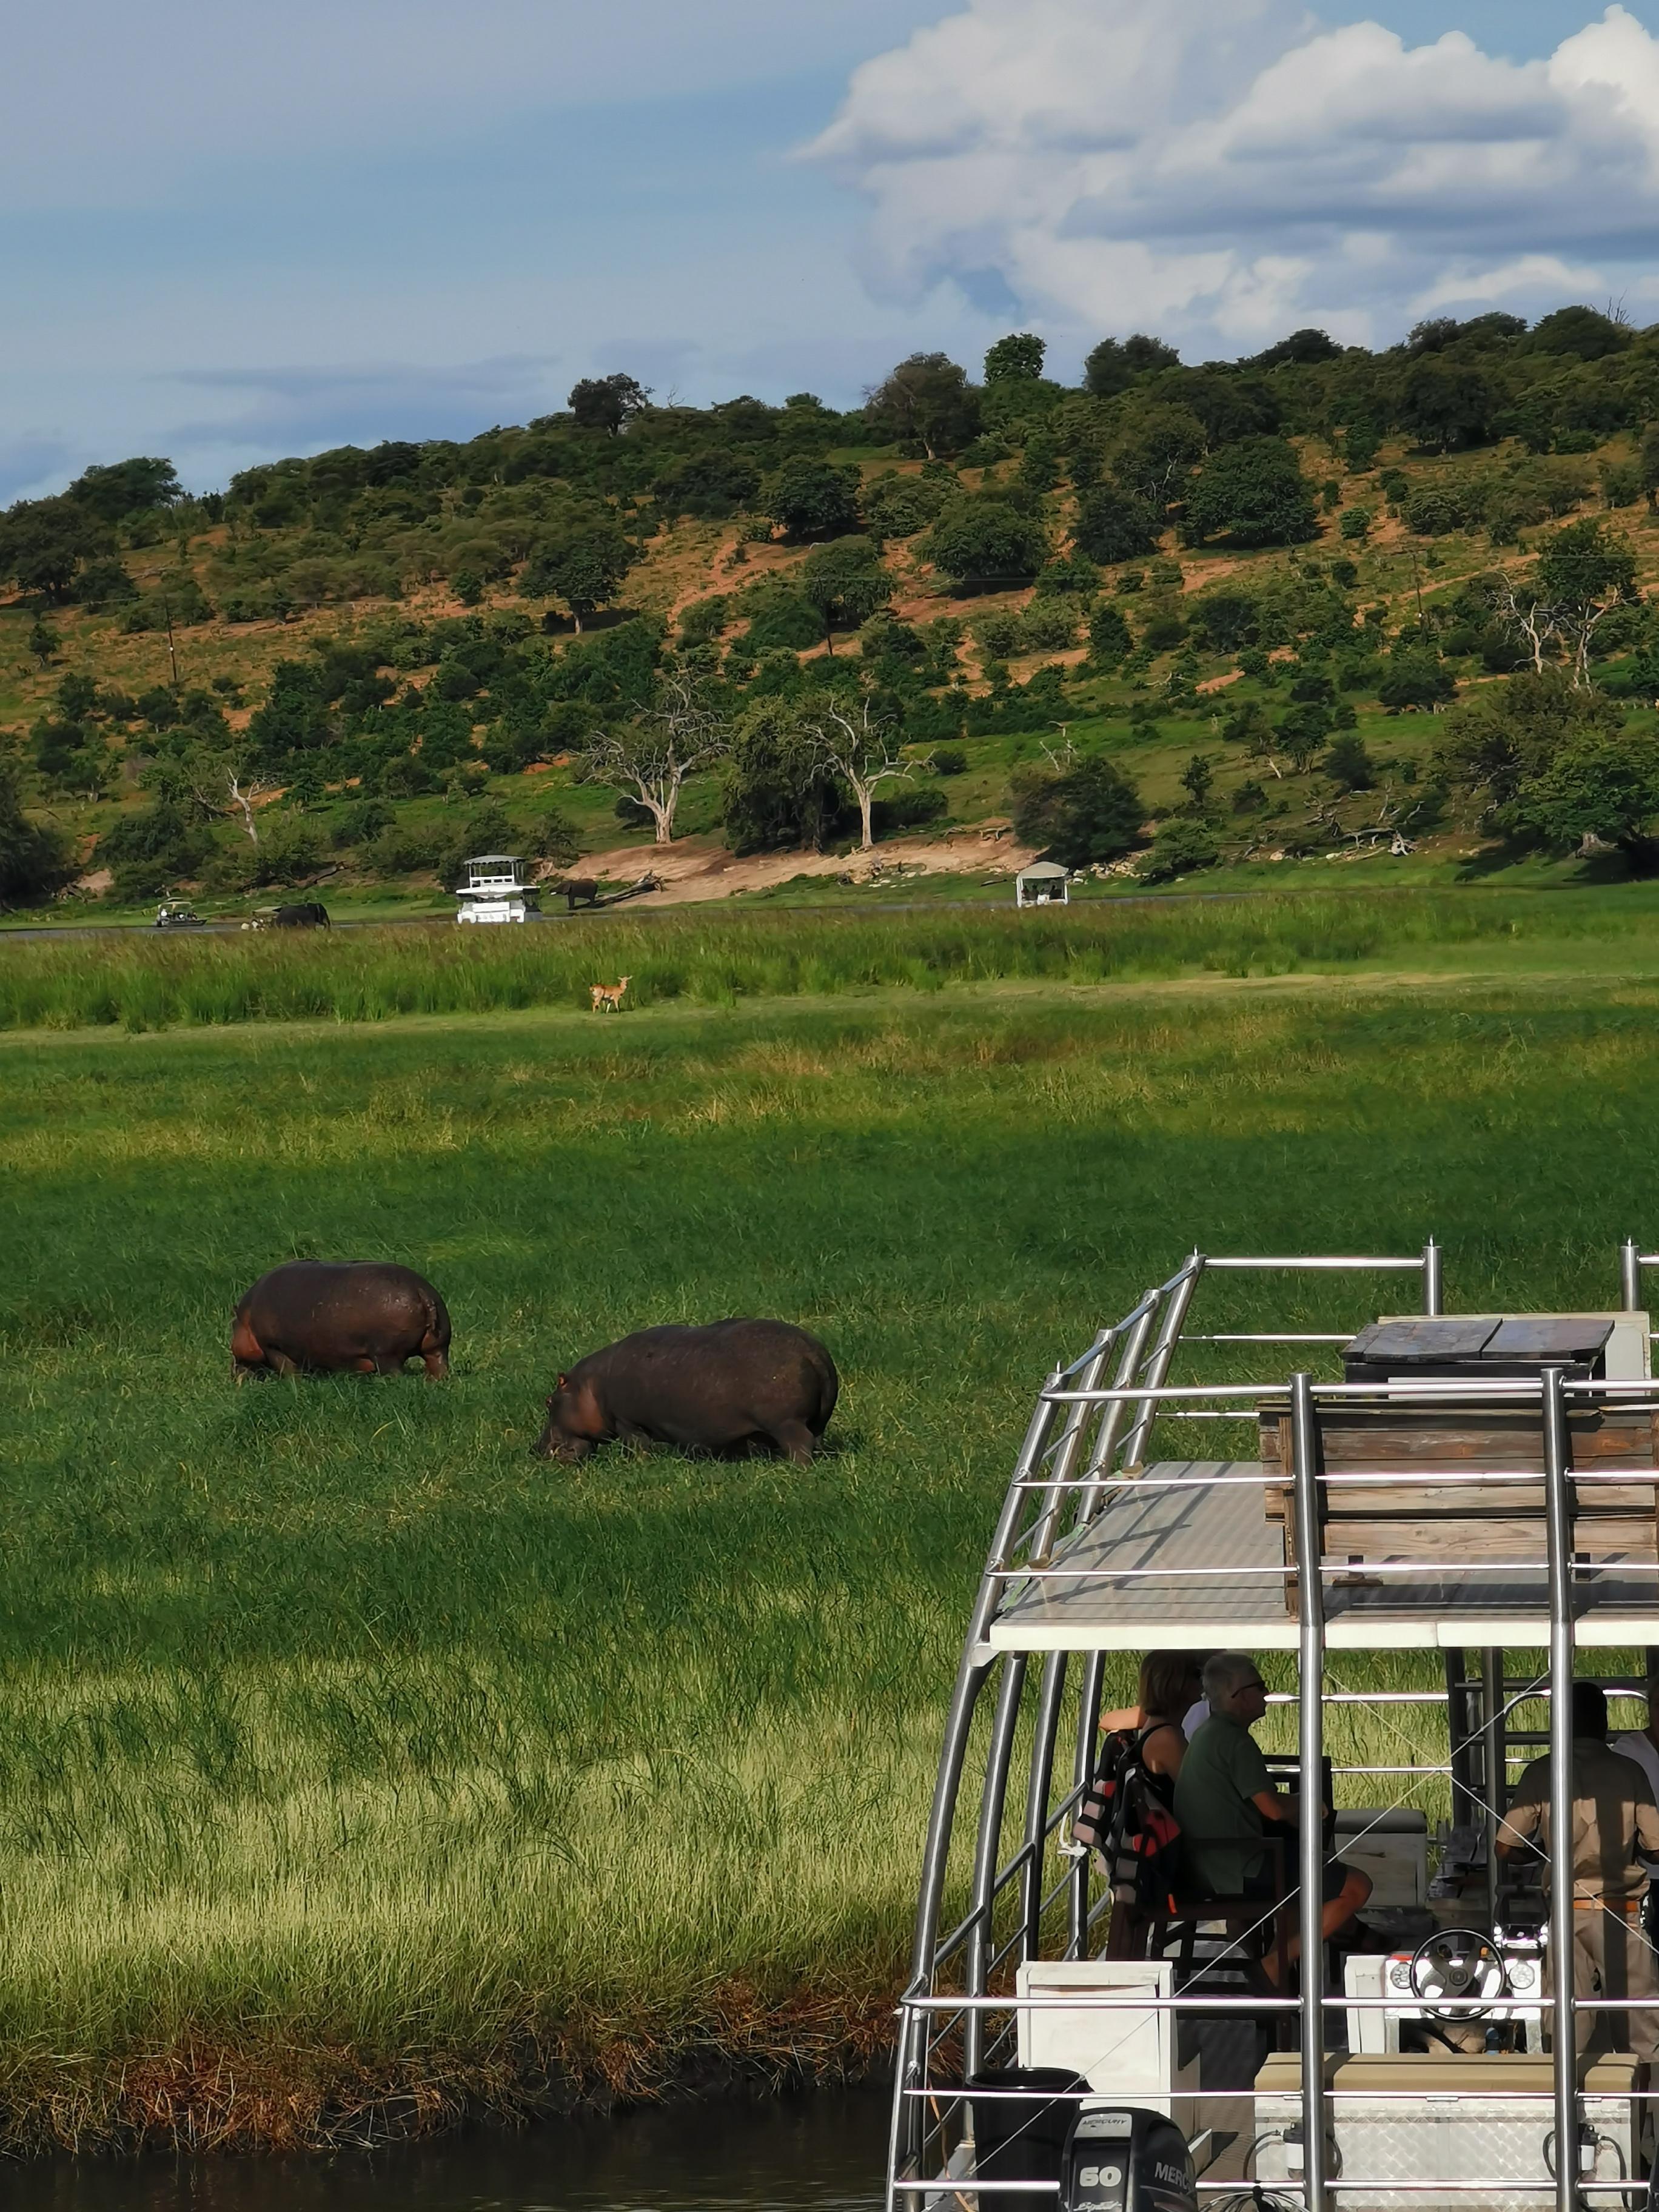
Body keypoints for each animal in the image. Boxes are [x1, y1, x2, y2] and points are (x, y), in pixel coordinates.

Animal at [229, 1265, 449, 1380]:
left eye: (232, 1326)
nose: (234, 1373)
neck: (246, 1317)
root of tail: (422, 1292)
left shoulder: (274, 1348)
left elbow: (289, 1371)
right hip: (439, 1346)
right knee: (438, 1366)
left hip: (387, 1354)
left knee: (396, 1374)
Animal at [540, 1318, 836, 1460]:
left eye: (548, 1401)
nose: (536, 1448)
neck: (590, 1386)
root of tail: (813, 1352)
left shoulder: (627, 1422)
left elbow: (638, 1446)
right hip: (815, 1421)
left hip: (786, 1423)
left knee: (800, 1444)